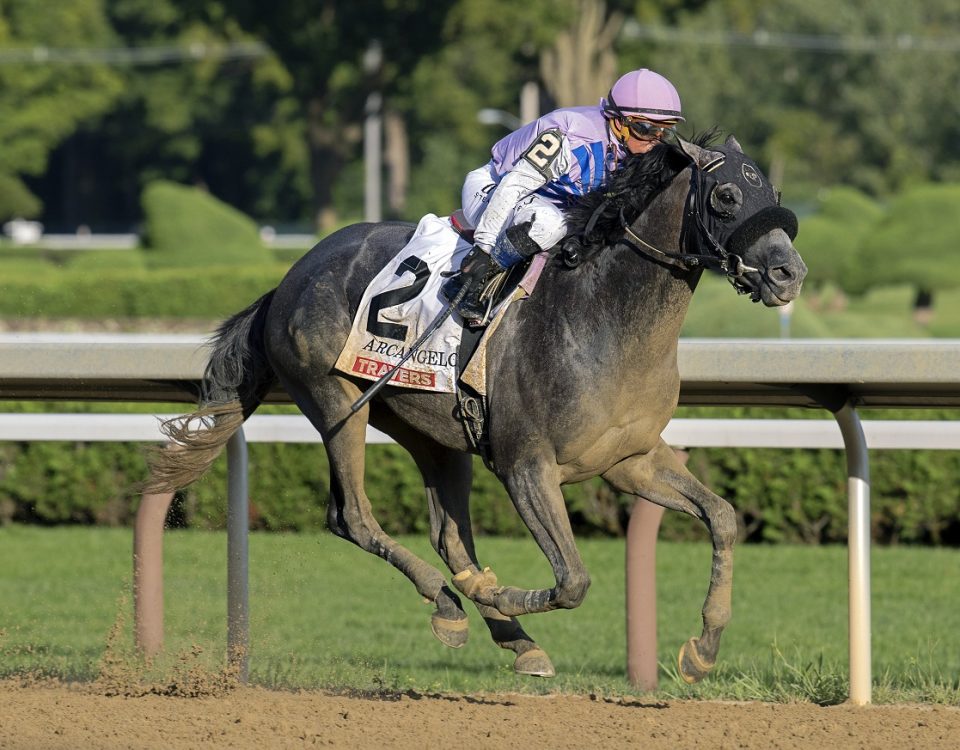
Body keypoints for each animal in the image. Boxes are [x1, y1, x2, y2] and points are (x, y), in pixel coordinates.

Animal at [150, 134, 808, 680]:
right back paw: (455, 601)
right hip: (337, 401)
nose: (789, 273)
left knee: (449, 536)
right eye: (726, 194)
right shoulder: (526, 466)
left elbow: (722, 517)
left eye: (773, 193)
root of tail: (289, 277)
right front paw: (501, 593)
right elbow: (573, 579)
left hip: (428, 430)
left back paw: (505, 632)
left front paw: (702, 651)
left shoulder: (631, 460)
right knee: (352, 517)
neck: (601, 315)